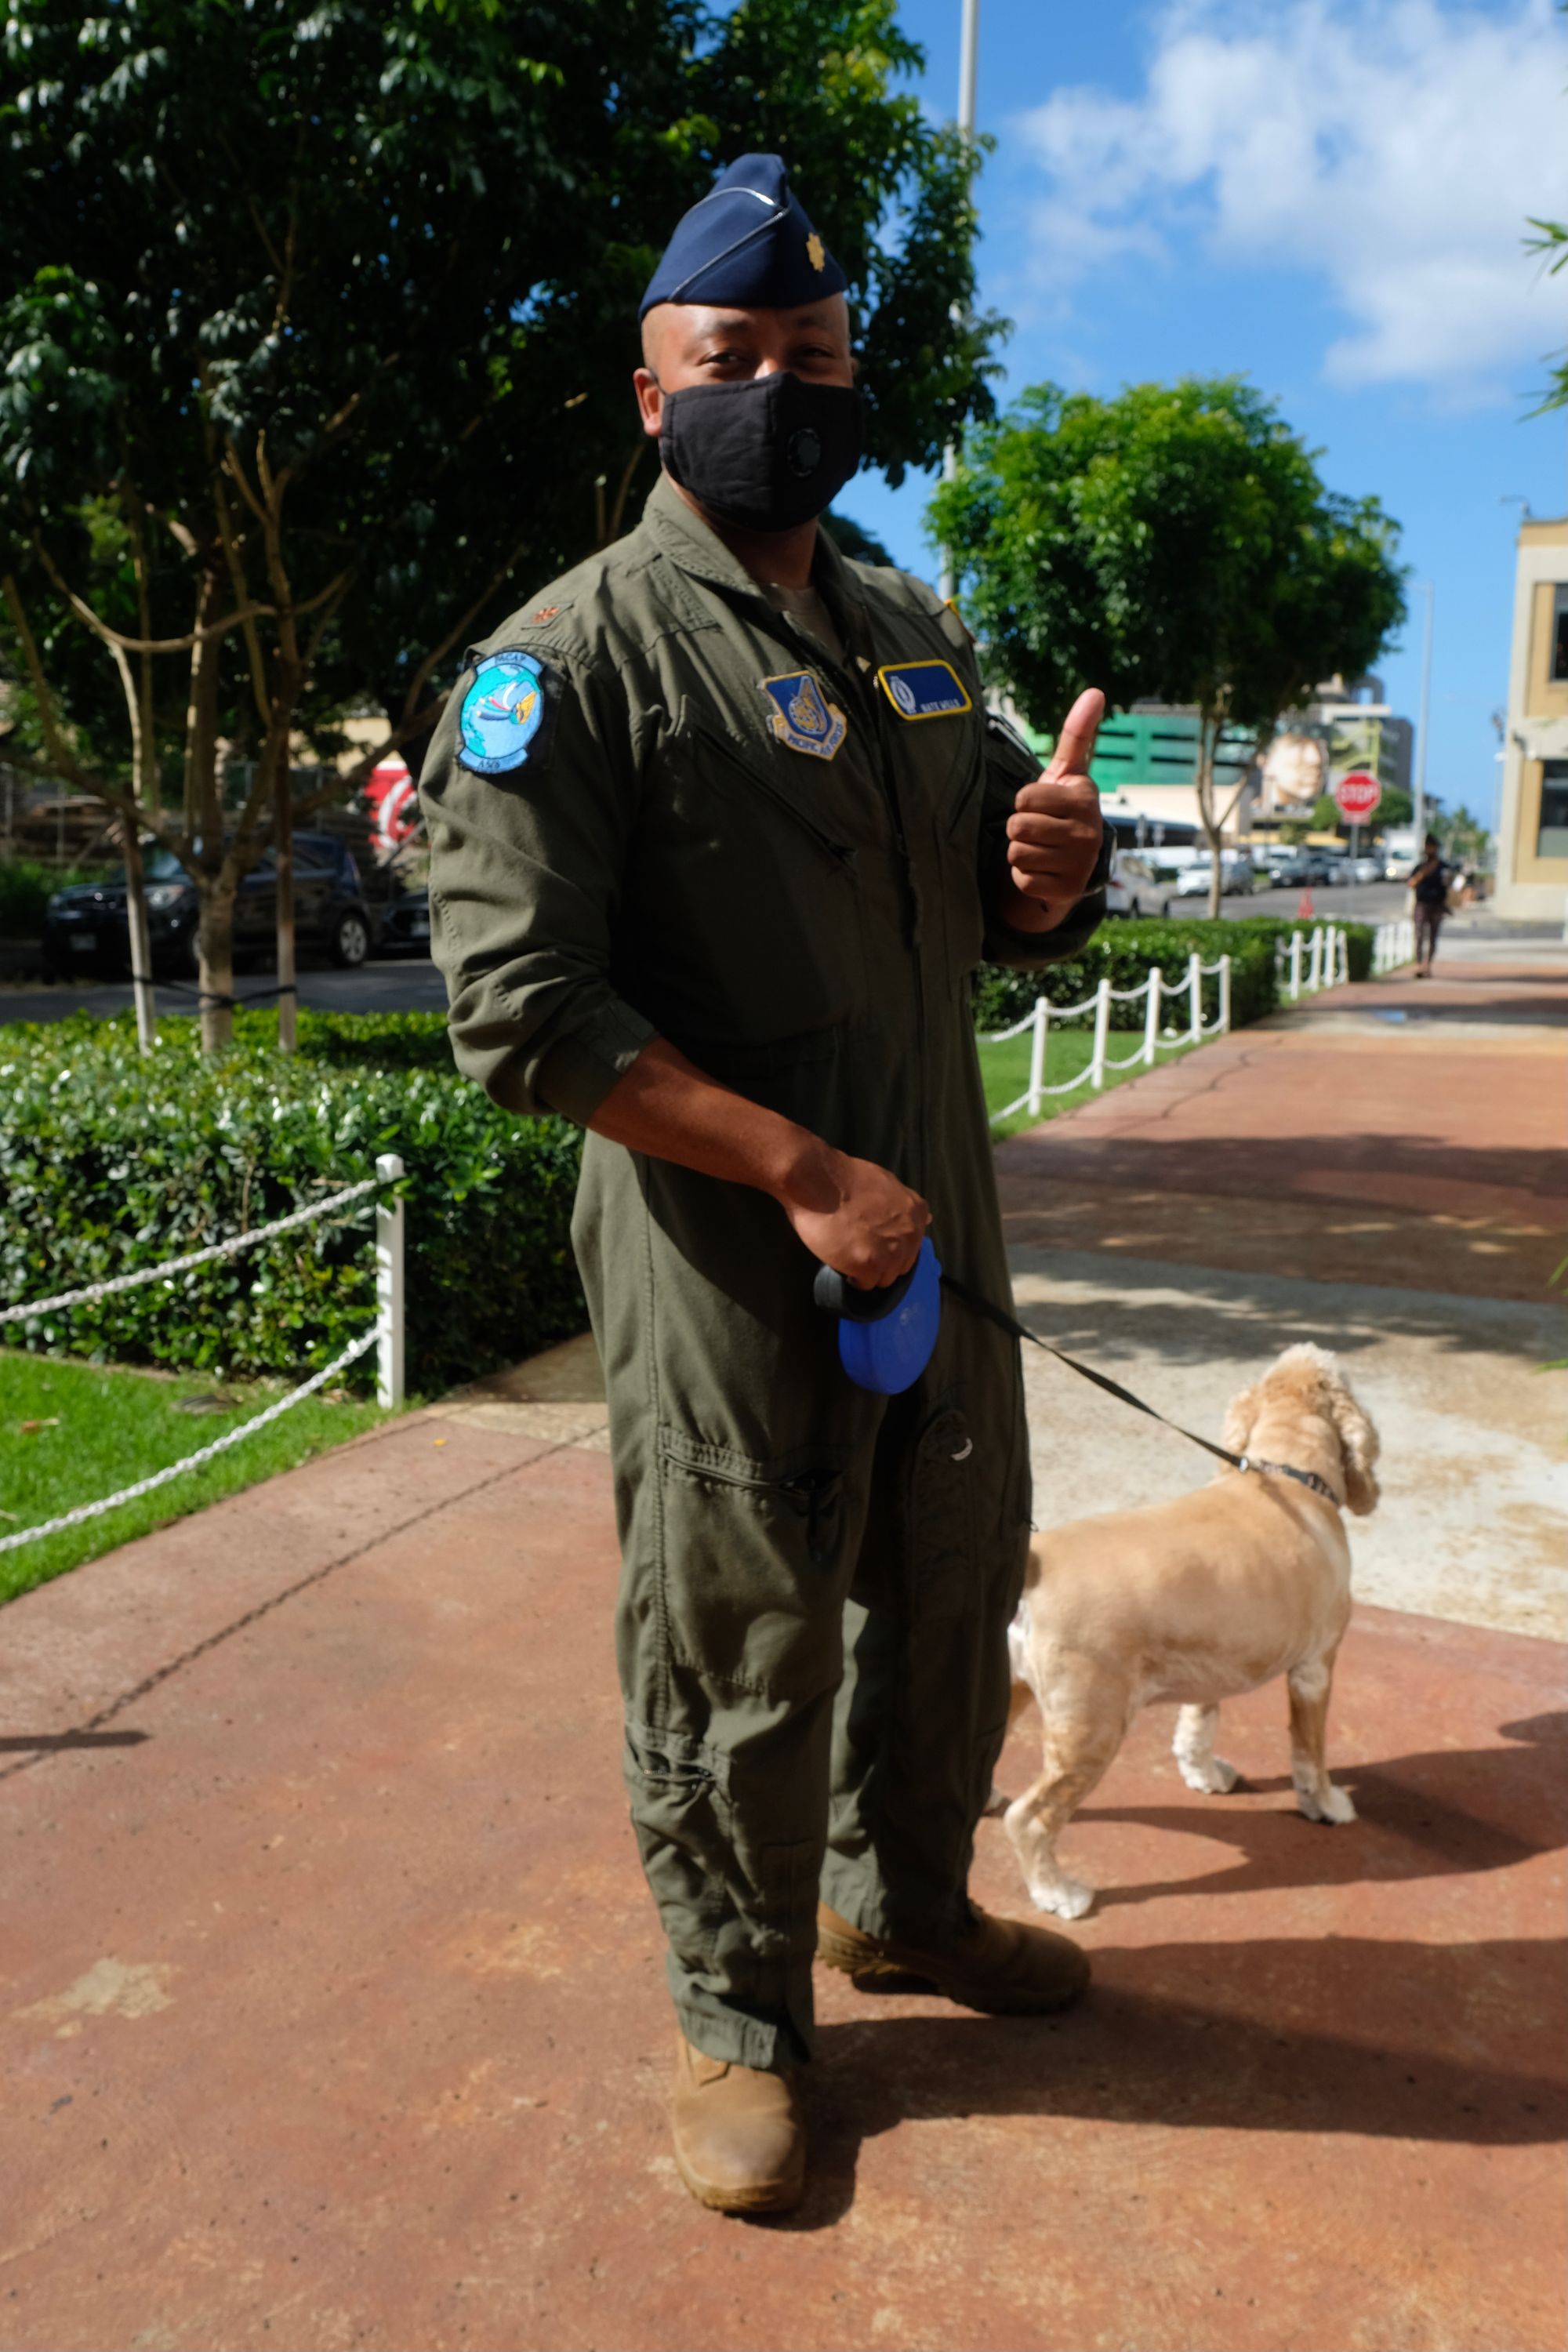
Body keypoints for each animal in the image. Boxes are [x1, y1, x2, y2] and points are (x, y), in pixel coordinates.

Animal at [998, 1343, 1380, 1919]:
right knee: (1030, 1817)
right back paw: (1058, 1893)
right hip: (1091, 1728)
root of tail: (1031, 1562)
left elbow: (1198, 1725)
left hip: (1009, 1691)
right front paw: (1328, 1804)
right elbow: (1310, 1753)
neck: (1286, 1472)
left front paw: (1205, 1776)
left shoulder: (1211, 1657)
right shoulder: (1315, 1668)